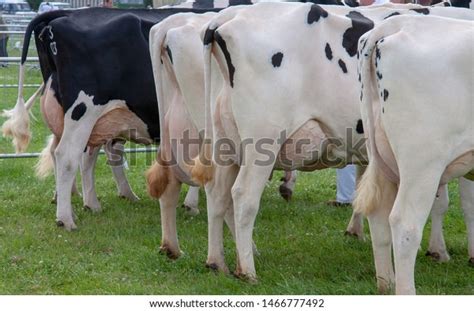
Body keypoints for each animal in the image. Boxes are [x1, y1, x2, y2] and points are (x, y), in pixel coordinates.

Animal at [356, 14, 474, 296]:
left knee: (378, 217)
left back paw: (386, 284)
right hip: (422, 162)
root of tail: (397, 23)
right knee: (404, 224)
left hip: (381, 157)